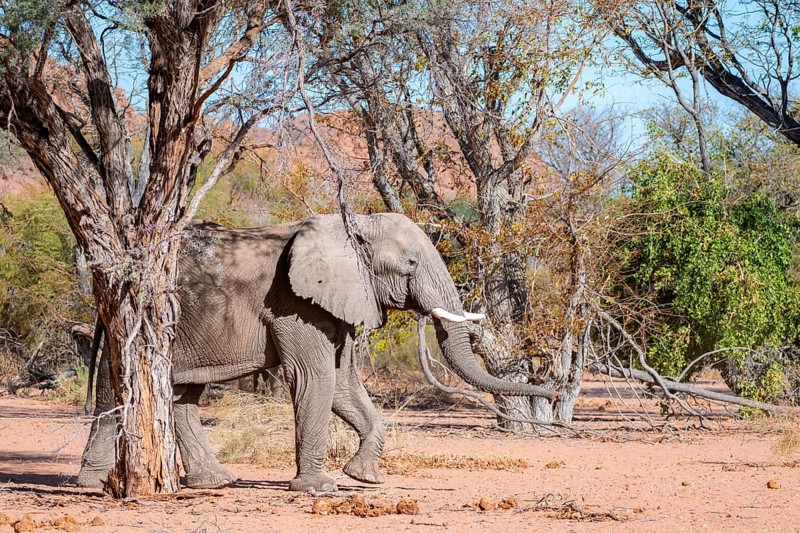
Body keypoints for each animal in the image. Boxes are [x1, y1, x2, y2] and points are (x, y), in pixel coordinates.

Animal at [77, 213, 554, 494]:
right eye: (411, 264)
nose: (550, 389)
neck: (347, 224)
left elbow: (342, 383)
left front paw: (364, 478)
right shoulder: (294, 302)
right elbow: (315, 378)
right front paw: (320, 488)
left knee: (183, 395)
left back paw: (215, 482)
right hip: (134, 319)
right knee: (118, 388)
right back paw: (94, 484)